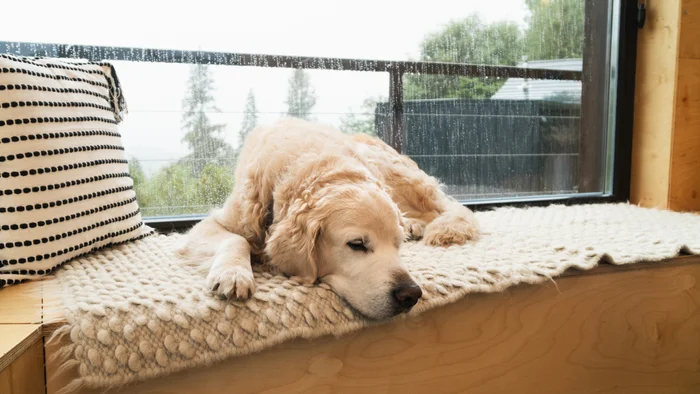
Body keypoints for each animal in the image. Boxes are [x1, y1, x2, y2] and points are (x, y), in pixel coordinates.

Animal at [178, 117, 478, 320]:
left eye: (397, 245)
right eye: (356, 244)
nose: (411, 294)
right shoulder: (216, 223)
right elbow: (236, 240)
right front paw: (234, 273)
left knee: (445, 208)